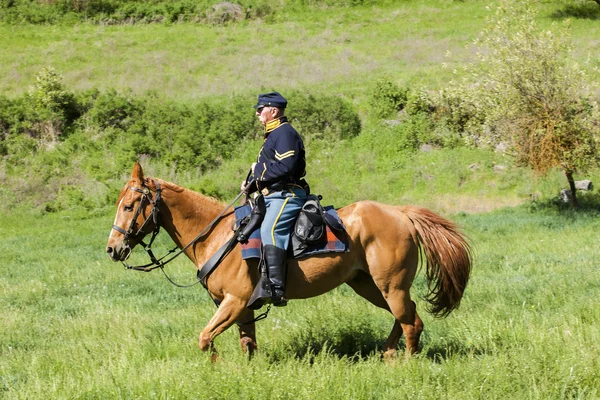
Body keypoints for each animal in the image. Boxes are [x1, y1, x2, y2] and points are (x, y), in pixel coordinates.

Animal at [108, 162, 474, 360]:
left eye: (129, 206)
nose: (113, 249)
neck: (218, 234)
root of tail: (401, 213)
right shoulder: (242, 308)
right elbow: (247, 344)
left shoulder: (234, 301)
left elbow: (205, 338)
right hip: (370, 286)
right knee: (405, 317)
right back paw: (387, 355)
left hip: (391, 285)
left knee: (411, 322)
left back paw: (404, 365)